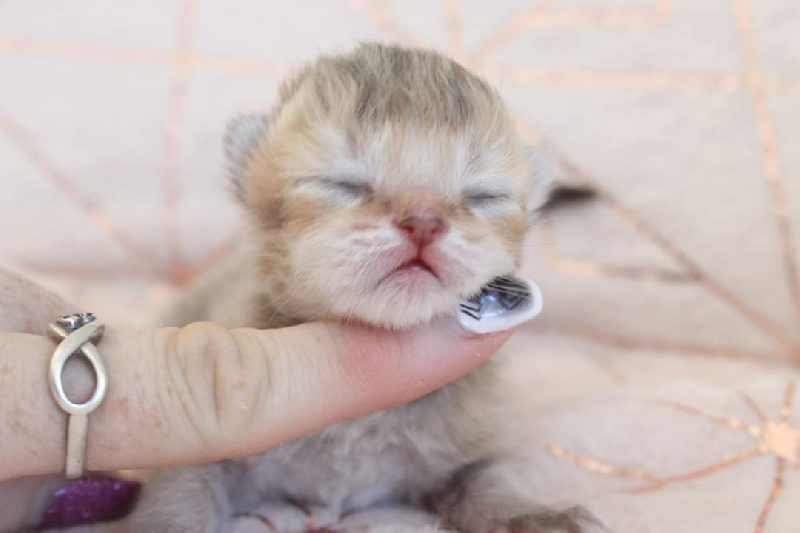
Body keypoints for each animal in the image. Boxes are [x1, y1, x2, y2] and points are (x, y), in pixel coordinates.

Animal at [131, 43, 596, 528]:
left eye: (484, 196)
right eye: (342, 184)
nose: (423, 221)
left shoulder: (469, 446)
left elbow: (487, 480)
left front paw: (531, 515)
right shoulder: (204, 452)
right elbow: (181, 490)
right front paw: (165, 522)